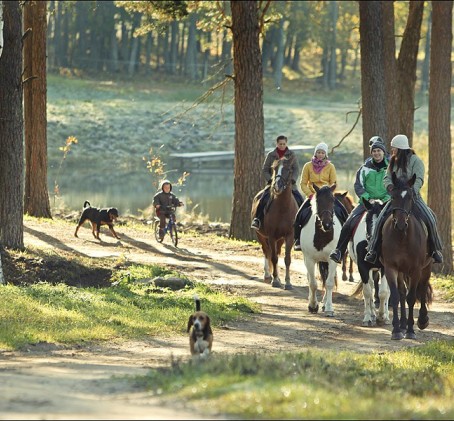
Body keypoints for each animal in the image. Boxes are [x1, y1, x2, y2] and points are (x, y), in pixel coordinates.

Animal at [252, 156, 298, 290]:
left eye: (288, 169)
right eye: (274, 169)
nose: (277, 186)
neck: (283, 208)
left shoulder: (289, 236)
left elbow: (287, 259)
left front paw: (287, 282)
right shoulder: (271, 236)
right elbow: (273, 258)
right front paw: (275, 281)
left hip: (280, 239)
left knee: (275, 252)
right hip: (261, 235)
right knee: (267, 251)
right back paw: (268, 275)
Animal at [298, 182, 340, 316]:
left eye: (333, 200)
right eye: (317, 200)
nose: (327, 224)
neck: (323, 235)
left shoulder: (332, 260)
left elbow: (329, 283)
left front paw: (329, 308)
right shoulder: (309, 259)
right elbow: (312, 283)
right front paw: (312, 305)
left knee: (328, 279)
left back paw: (325, 303)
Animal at [380, 172, 432, 340]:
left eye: (410, 197)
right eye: (393, 196)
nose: (401, 224)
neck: (402, 237)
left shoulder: (416, 269)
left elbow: (412, 297)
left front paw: (411, 330)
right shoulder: (391, 268)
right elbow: (397, 296)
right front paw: (397, 330)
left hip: (426, 267)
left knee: (422, 288)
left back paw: (422, 320)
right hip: (402, 271)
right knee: (402, 293)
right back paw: (402, 325)